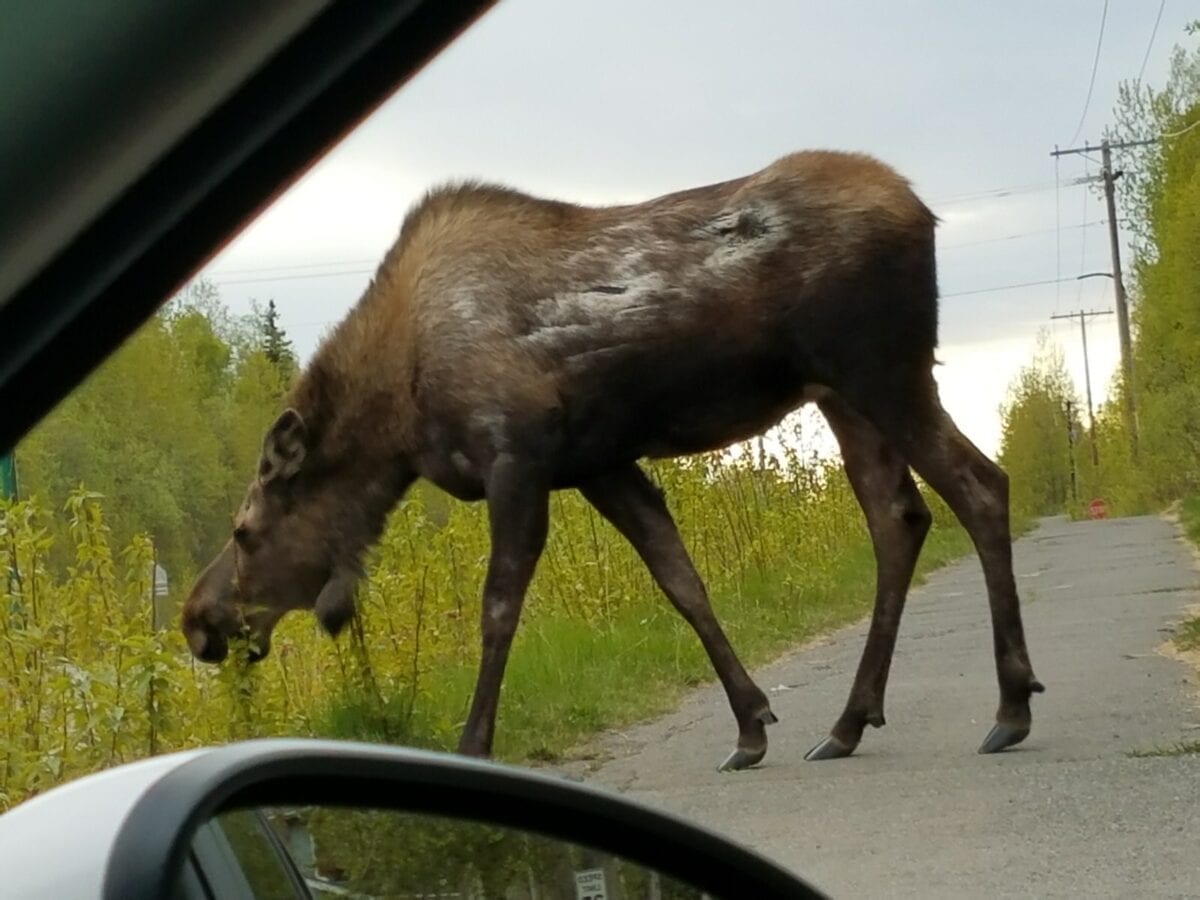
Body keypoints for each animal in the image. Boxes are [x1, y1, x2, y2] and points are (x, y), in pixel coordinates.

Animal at [182, 151, 1046, 772]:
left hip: (884, 369)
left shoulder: (517, 456)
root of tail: (923, 210)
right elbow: (680, 578)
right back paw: (848, 722)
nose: (198, 620)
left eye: (246, 530)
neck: (397, 418)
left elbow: (499, 607)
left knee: (980, 485)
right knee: (898, 517)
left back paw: (1011, 707)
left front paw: (473, 745)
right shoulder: (597, 464)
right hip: (842, 394)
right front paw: (751, 724)